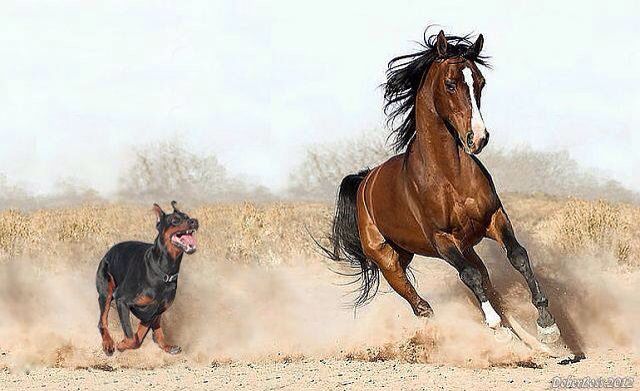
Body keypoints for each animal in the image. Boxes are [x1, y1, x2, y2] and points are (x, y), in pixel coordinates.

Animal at [95, 201, 198, 356]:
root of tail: (108, 252)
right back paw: (108, 343)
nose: (194, 221)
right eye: (175, 220)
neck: (164, 272)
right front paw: (121, 344)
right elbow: (132, 337)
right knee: (102, 321)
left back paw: (167, 346)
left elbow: (140, 336)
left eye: (187, 216)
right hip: (106, 291)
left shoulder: (155, 311)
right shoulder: (122, 299)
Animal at [324, 29, 560, 344]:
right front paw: (495, 325)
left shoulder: (494, 218)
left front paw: (546, 324)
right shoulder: (442, 239)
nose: (478, 138)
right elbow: (470, 276)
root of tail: (365, 182)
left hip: (450, 247)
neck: (450, 175)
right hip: (388, 260)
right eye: (450, 84)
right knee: (421, 304)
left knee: (482, 277)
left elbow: (517, 256)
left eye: (480, 83)